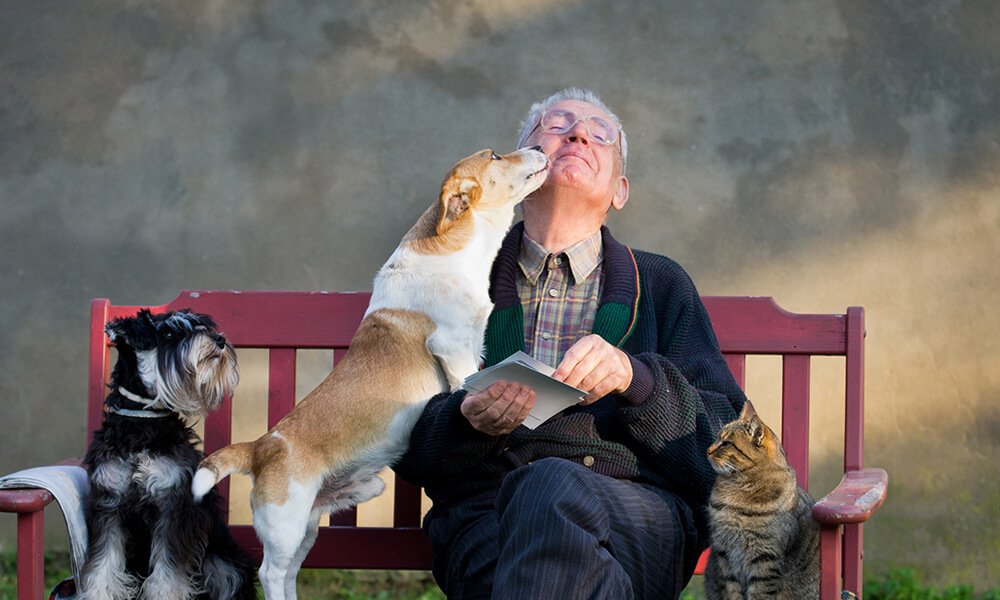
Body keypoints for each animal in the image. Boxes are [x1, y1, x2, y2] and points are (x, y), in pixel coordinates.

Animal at [81, 310, 258, 600]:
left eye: (202, 325)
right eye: (168, 333)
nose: (219, 340)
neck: (141, 424)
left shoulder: (173, 505)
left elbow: (168, 572)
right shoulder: (109, 503)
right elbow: (102, 566)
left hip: (225, 565)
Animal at [191, 146, 552, 600]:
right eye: (496, 155)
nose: (539, 148)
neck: (454, 253)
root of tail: (259, 447)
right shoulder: (454, 348)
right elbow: (463, 385)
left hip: (310, 525)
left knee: (289, 574)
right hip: (285, 525)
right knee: (271, 573)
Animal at [704, 398, 820, 600]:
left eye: (726, 443)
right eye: (717, 438)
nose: (708, 450)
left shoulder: (765, 558)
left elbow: (759, 593)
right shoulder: (724, 553)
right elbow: (731, 590)